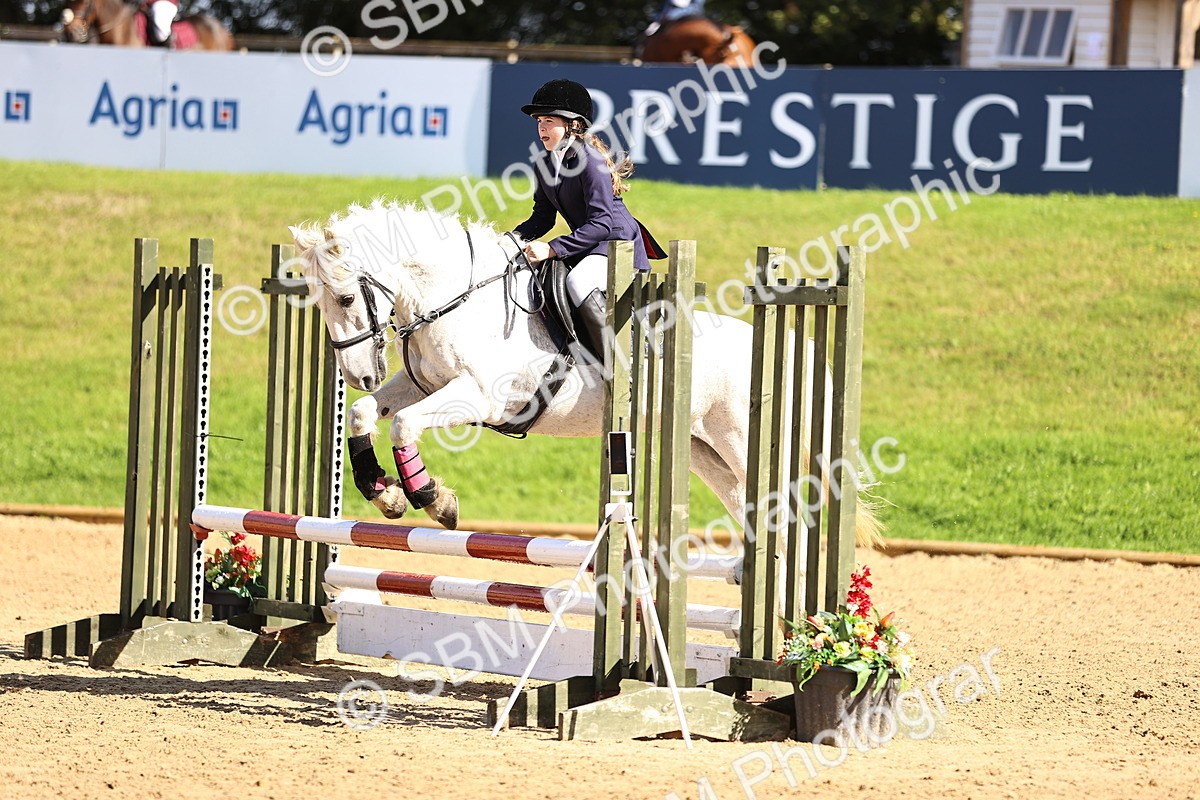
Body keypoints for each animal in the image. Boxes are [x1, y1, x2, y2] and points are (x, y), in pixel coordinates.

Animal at [289, 201, 882, 553]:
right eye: (317, 301)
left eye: (346, 298)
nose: (359, 374)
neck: (456, 296)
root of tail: (794, 348)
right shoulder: (425, 386)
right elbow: (365, 416)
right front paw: (385, 495)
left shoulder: (479, 398)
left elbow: (404, 425)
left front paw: (436, 500)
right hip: (707, 454)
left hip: (742, 442)